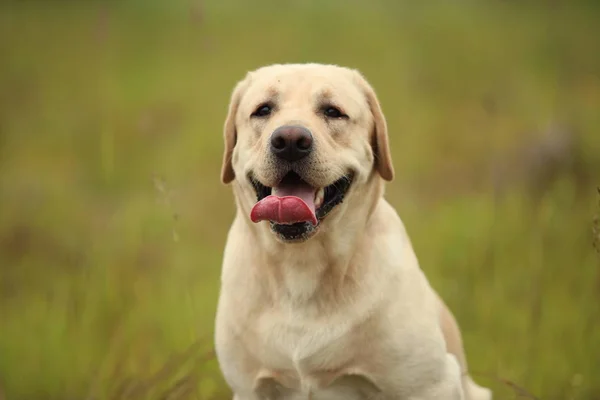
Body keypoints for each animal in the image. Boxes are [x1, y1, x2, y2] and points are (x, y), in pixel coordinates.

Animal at [216, 63, 492, 400]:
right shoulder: (249, 388)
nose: (290, 140)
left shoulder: (430, 384)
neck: (302, 267)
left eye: (333, 111)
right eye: (263, 110)